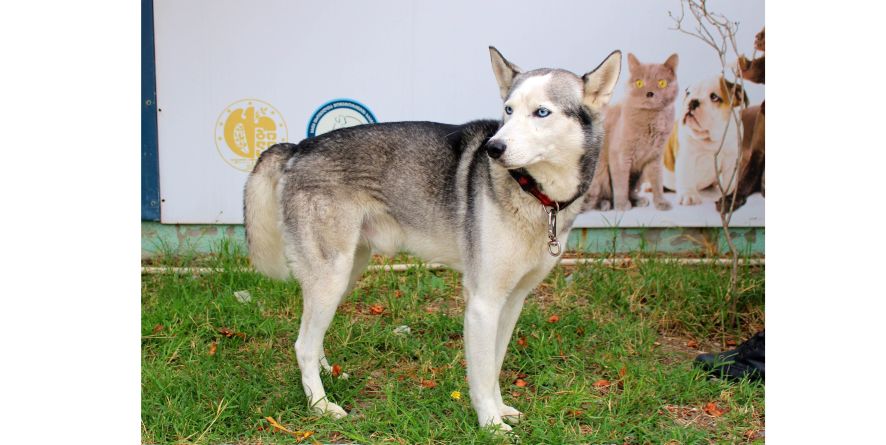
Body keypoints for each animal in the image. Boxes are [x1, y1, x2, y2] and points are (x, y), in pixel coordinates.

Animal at [243, 46, 616, 430]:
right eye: (508, 110)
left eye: (541, 112)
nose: (493, 148)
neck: (535, 194)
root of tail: (298, 147)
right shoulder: (482, 303)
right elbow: (482, 373)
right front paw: (491, 423)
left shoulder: (512, 301)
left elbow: (495, 365)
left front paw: (501, 409)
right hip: (331, 276)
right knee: (301, 344)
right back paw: (320, 404)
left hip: (343, 275)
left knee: (313, 337)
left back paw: (328, 374)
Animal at [664, 76, 748, 205]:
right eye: (688, 93)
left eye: (714, 97)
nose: (693, 101)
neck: (711, 137)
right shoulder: (686, 156)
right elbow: (686, 176)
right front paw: (688, 195)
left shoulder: (731, 159)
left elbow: (730, 180)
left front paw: (731, 196)